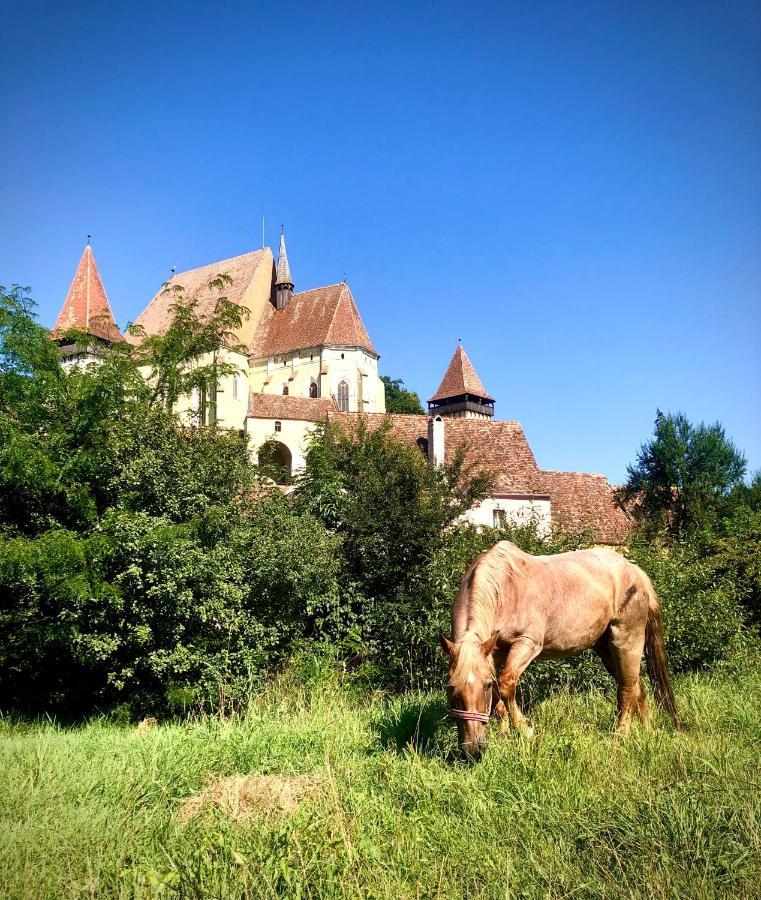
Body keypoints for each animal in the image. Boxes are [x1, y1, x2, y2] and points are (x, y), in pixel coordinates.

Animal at [440, 540, 676, 760]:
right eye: (450, 687)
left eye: (486, 686)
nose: (472, 750)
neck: (506, 587)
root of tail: (636, 572)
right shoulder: (493, 652)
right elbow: (499, 696)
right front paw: (504, 734)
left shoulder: (528, 643)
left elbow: (506, 684)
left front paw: (526, 731)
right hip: (606, 648)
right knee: (636, 685)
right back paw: (647, 731)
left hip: (626, 640)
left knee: (626, 689)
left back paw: (620, 737)